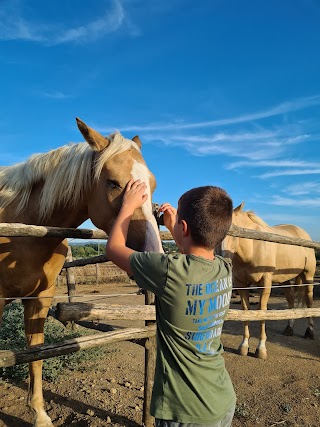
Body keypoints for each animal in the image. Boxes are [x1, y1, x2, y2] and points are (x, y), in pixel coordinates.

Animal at [0, 118, 161, 427]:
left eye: (153, 184)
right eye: (113, 183)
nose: (153, 253)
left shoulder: (40, 299)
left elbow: (35, 354)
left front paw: (40, 415)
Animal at [222, 204, 316, 362]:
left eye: (233, 232)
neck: (253, 247)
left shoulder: (265, 283)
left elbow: (262, 311)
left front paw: (261, 349)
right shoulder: (242, 284)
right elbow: (245, 312)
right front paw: (244, 346)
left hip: (308, 276)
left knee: (309, 301)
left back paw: (309, 332)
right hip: (285, 280)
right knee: (291, 301)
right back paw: (289, 328)